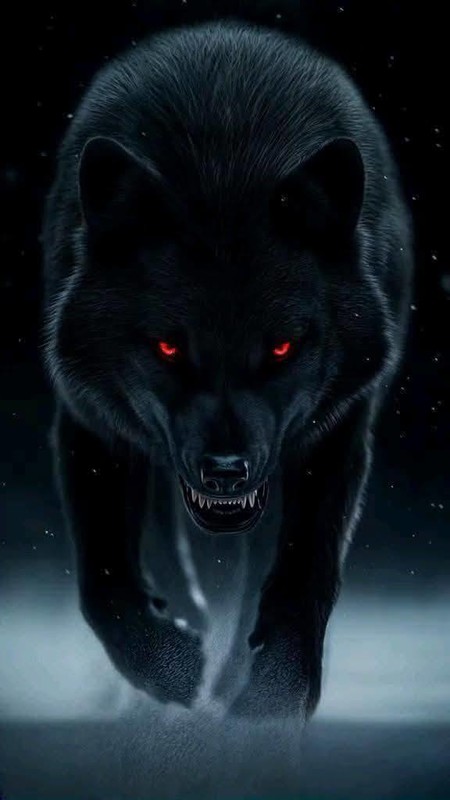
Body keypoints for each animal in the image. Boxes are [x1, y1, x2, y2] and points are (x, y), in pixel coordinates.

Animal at [42, 17, 413, 719]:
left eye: (282, 348)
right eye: (167, 348)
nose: (224, 471)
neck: (224, 167)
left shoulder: (340, 430)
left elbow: (305, 571)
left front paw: (272, 699)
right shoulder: (89, 423)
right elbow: (102, 582)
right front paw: (173, 668)